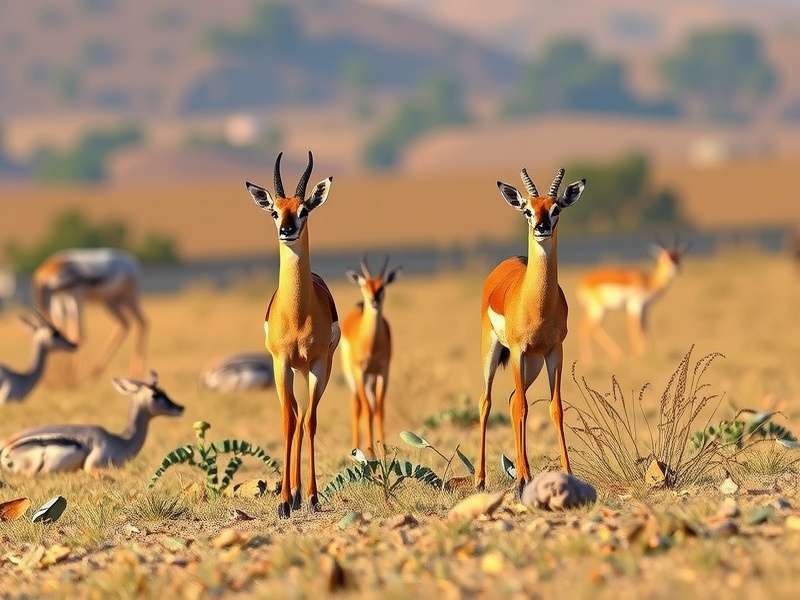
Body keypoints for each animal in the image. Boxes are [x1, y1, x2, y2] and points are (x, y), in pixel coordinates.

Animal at [0, 371, 183, 475]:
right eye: (155, 395)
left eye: (164, 391)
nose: (180, 407)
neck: (120, 441)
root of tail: (6, 448)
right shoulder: (92, 465)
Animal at [31, 248, 148, 377]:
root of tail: (131, 262)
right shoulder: (59, 300)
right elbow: (64, 330)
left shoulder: (76, 297)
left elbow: (78, 335)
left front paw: (73, 375)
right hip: (112, 302)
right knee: (127, 324)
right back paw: (97, 370)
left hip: (129, 299)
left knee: (143, 323)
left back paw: (135, 372)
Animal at [245, 151, 337, 518]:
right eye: (275, 210)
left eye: (304, 210)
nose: (287, 231)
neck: (297, 313)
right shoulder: (281, 363)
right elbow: (287, 422)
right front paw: (283, 502)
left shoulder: (317, 364)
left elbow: (310, 422)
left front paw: (311, 497)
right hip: (292, 370)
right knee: (295, 416)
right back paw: (293, 497)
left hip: (313, 369)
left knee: (304, 418)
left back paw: (303, 496)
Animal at [340, 255, 401, 454]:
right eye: (365, 285)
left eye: (382, 286)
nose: (374, 300)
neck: (371, 345)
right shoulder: (360, 372)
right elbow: (367, 410)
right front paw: (371, 451)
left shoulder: (383, 372)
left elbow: (380, 409)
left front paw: (385, 450)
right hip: (353, 377)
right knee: (357, 405)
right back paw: (355, 449)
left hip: (371, 380)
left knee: (372, 405)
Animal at [476, 167, 586, 495]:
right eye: (527, 209)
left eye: (556, 208)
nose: (541, 228)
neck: (536, 303)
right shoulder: (518, 352)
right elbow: (524, 408)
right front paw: (522, 479)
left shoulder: (555, 352)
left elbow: (555, 408)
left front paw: (568, 473)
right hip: (494, 352)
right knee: (487, 402)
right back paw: (483, 480)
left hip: (533, 364)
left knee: (513, 399)